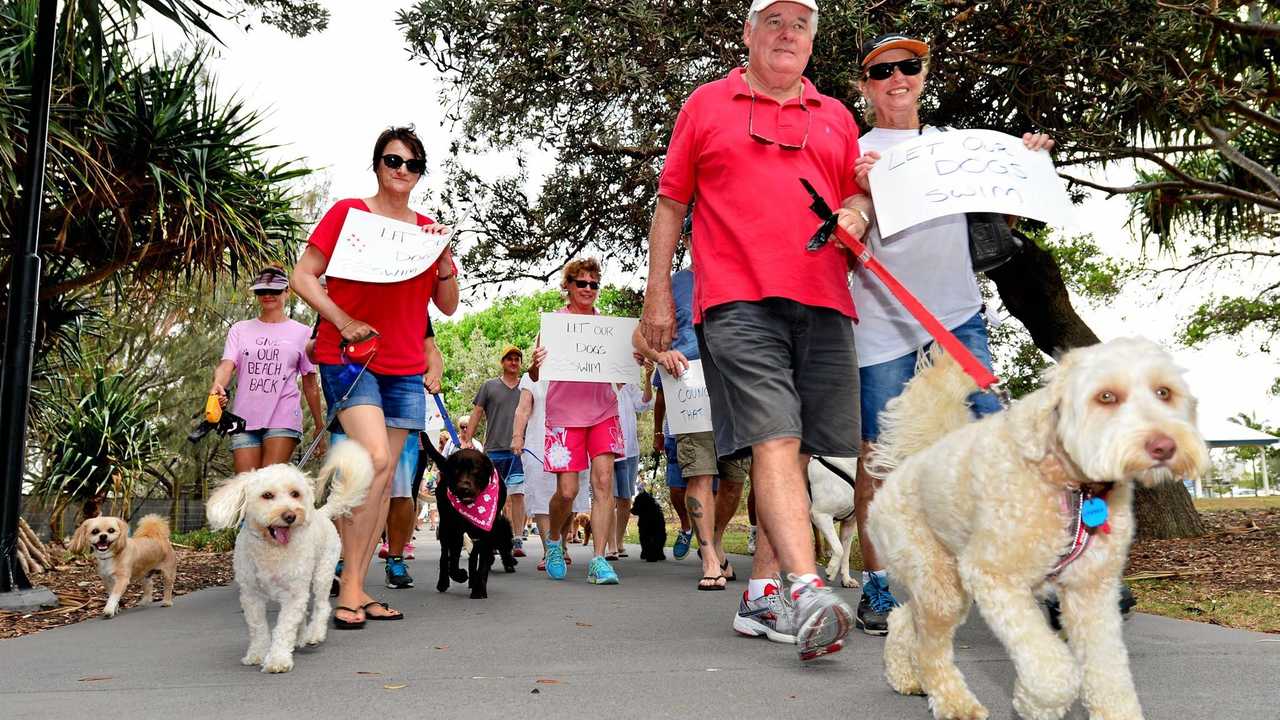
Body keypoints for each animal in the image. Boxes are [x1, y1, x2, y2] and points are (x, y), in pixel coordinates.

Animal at [207, 438, 373, 671]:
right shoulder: (251, 596)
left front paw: (277, 659)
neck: (272, 550)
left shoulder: (294, 595)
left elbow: (283, 628)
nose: (290, 516)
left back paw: (314, 634)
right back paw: (301, 636)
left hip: (322, 574)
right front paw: (257, 654)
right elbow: (258, 628)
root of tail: (321, 513)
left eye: (295, 493)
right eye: (267, 495)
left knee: (322, 606)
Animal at [424, 440, 514, 597]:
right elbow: (453, 561)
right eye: (456, 470)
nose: (463, 488)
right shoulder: (454, 531)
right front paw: (460, 575)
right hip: (445, 528)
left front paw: (478, 590)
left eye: (475, 470)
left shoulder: (486, 533)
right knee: (444, 556)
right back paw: (443, 582)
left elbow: (481, 564)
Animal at [808, 456, 860, 586]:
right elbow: (839, 548)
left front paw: (846, 580)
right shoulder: (821, 516)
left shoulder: (849, 523)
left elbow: (845, 553)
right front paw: (830, 570)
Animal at [865, 338, 1203, 717]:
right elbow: (1052, 671)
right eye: (1106, 397)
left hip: (942, 584)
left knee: (904, 619)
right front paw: (1036, 704)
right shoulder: (994, 578)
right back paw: (955, 702)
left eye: (1164, 392)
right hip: (937, 581)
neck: (1073, 487)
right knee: (931, 649)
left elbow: (1108, 672)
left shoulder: (1093, 593)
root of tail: (911, 463)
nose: (1164, 446)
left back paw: (905, 676)